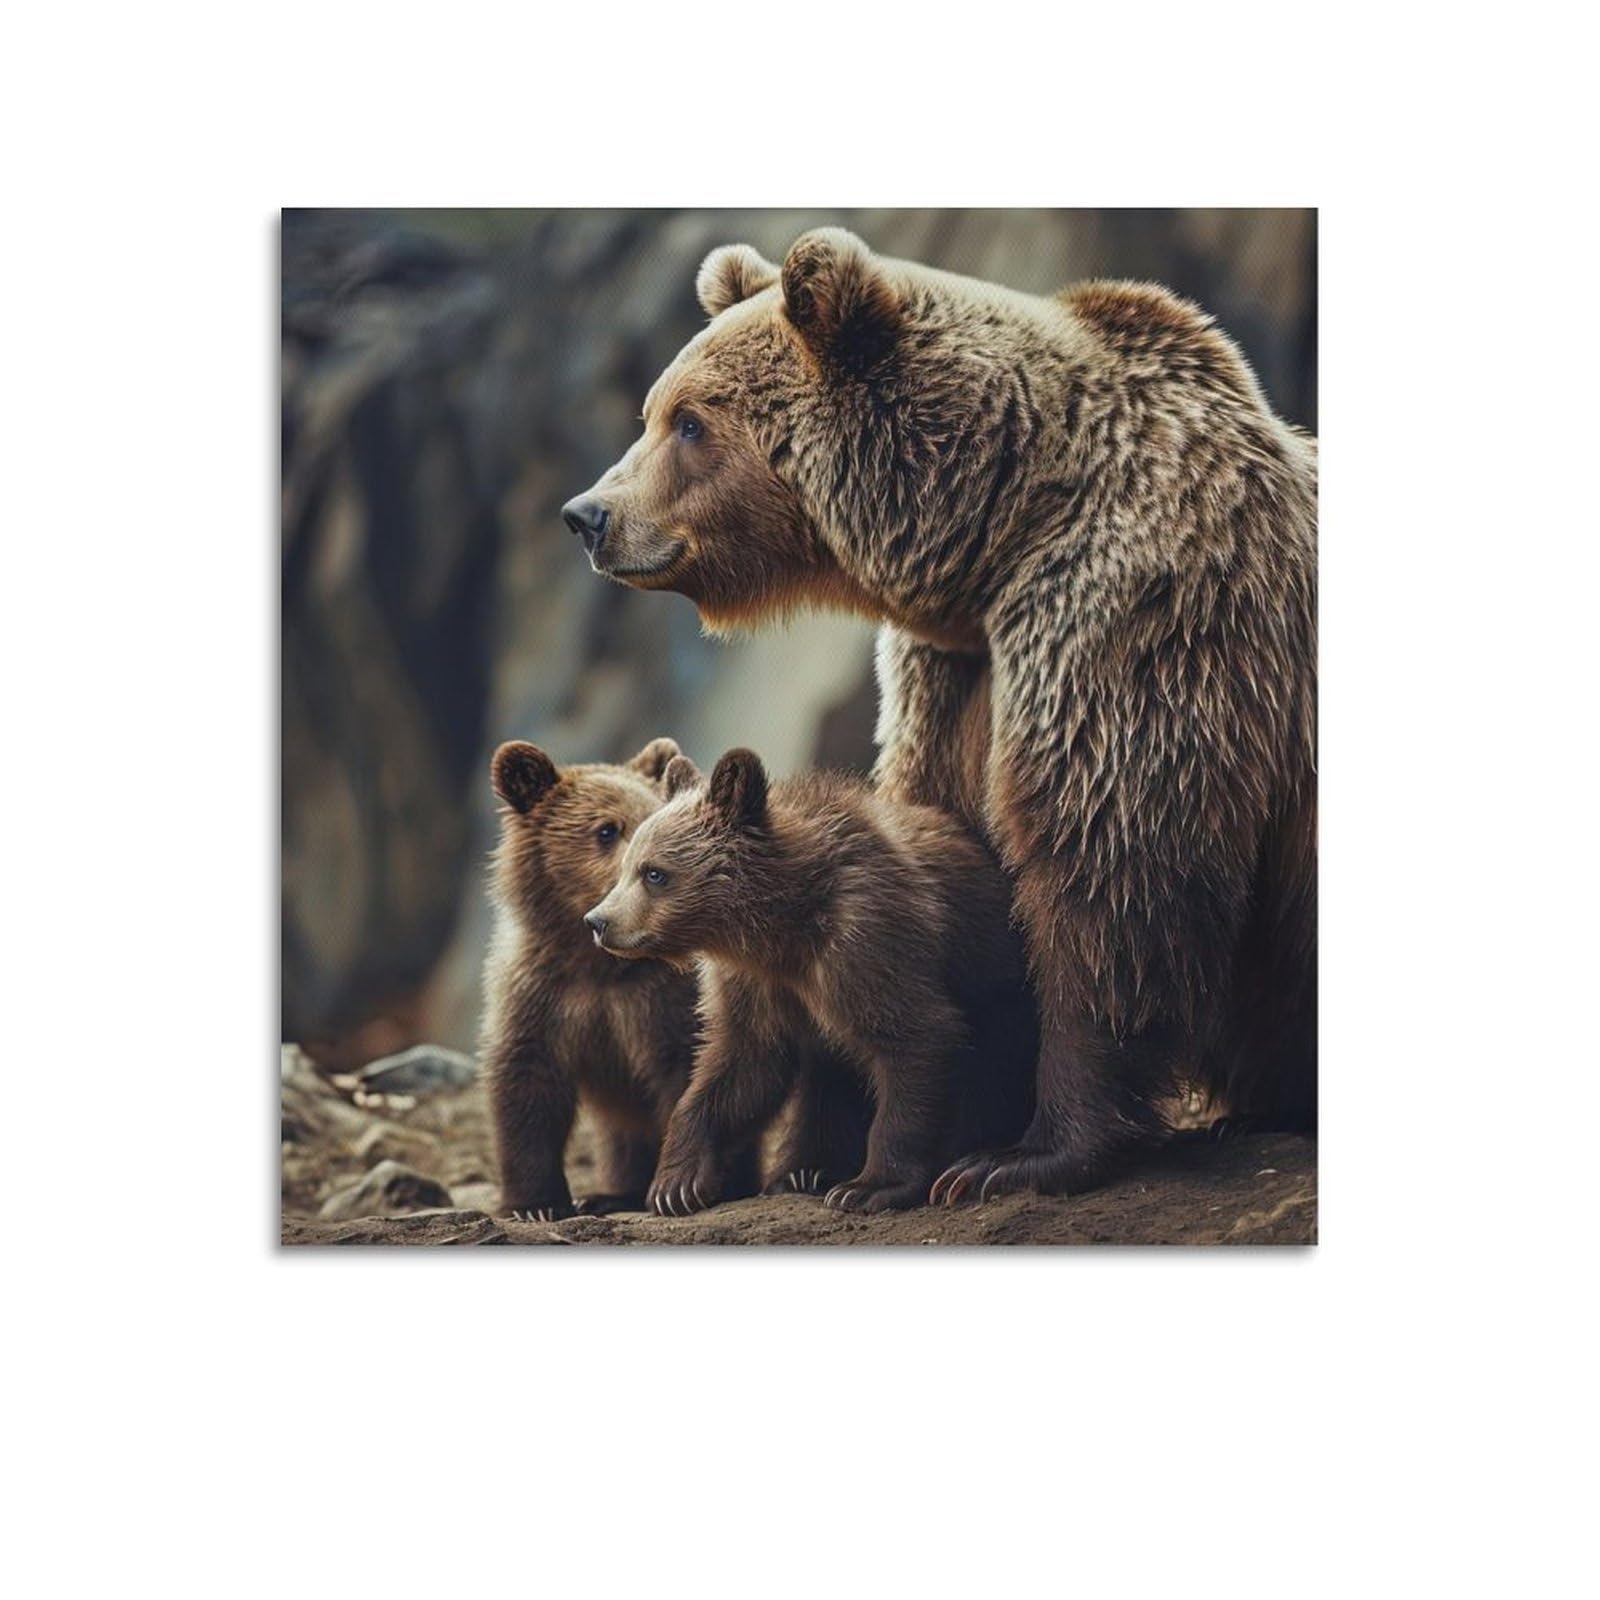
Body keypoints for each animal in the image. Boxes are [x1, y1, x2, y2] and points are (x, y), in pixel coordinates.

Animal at [481, 735, 734, 1220]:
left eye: (653, 818)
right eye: (605, 830)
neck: (598, 964)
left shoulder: (660, 1001)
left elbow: (689, 1072)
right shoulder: (540, 994)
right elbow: (526, 1085)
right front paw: (535, 1204)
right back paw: (608, 1193)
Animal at [581, 748, 1038, 1214]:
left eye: (654, 873)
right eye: (627, 868)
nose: (598, 921)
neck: (785, 927)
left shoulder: (870, 940)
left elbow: (917, 1038)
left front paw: (869, 1186)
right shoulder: (756, 983)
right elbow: (741, 1066)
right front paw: (676, 1184)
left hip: (1002, 996)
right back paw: (804, 1171)